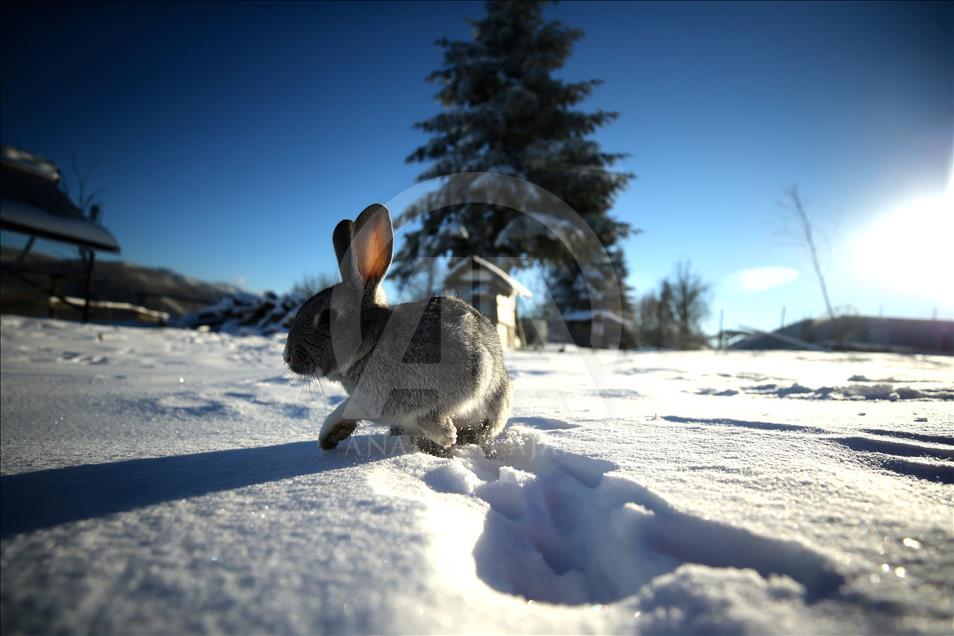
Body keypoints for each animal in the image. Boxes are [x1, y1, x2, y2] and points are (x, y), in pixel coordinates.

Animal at [284, 204, 512, 452]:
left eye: (326, 317)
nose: (287, 357)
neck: (371, 344)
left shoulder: (470, 369)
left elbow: (430, 412)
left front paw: (445, 435)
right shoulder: (365, 403)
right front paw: (328, 437)